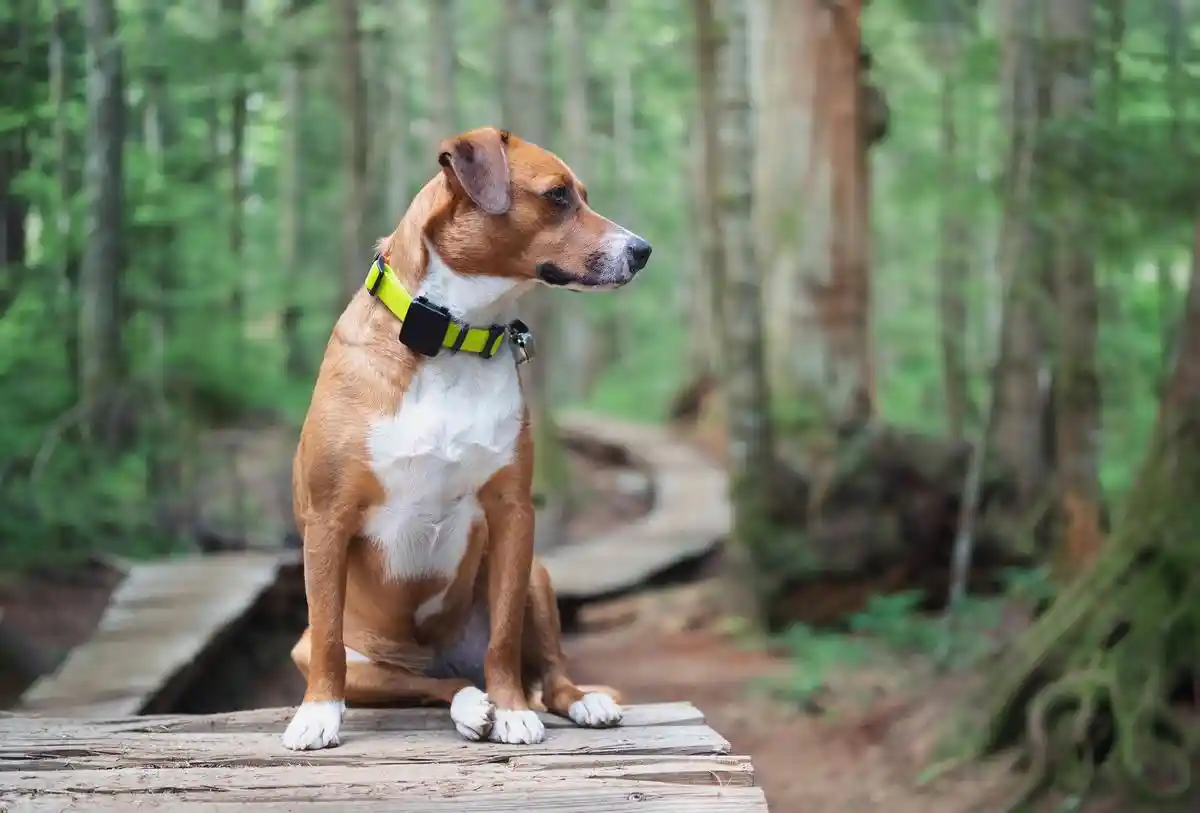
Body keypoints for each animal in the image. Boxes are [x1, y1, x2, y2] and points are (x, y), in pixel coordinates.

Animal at [279, 124, 652, 753]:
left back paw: (570, 701)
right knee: (430, 683)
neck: (453, 337)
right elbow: (329, 633)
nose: (642, 250)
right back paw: (469, 704)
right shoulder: (328, 520)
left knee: (546, 676)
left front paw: (512, 711)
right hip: (358, 660)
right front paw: (318, 714)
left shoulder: (512, 515)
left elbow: (502, 638)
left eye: (583, 195)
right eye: (557, 196)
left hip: (537, 576)